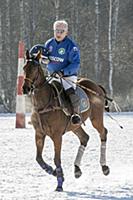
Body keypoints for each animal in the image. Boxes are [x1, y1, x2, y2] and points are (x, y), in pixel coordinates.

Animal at [22, 50, 110, 191]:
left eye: (35, 68)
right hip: (75, 125)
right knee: (85, 137)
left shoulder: (57, 136)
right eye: (24, 68)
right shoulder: (39, 134)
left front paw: (59, 183)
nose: (25, 88)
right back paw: (77, 169)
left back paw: (104, 167)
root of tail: (97, 86)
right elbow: (38, 158)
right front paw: (53, 171)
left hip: (96, 117)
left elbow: (56, 159)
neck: (43, 104)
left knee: (103, 132)